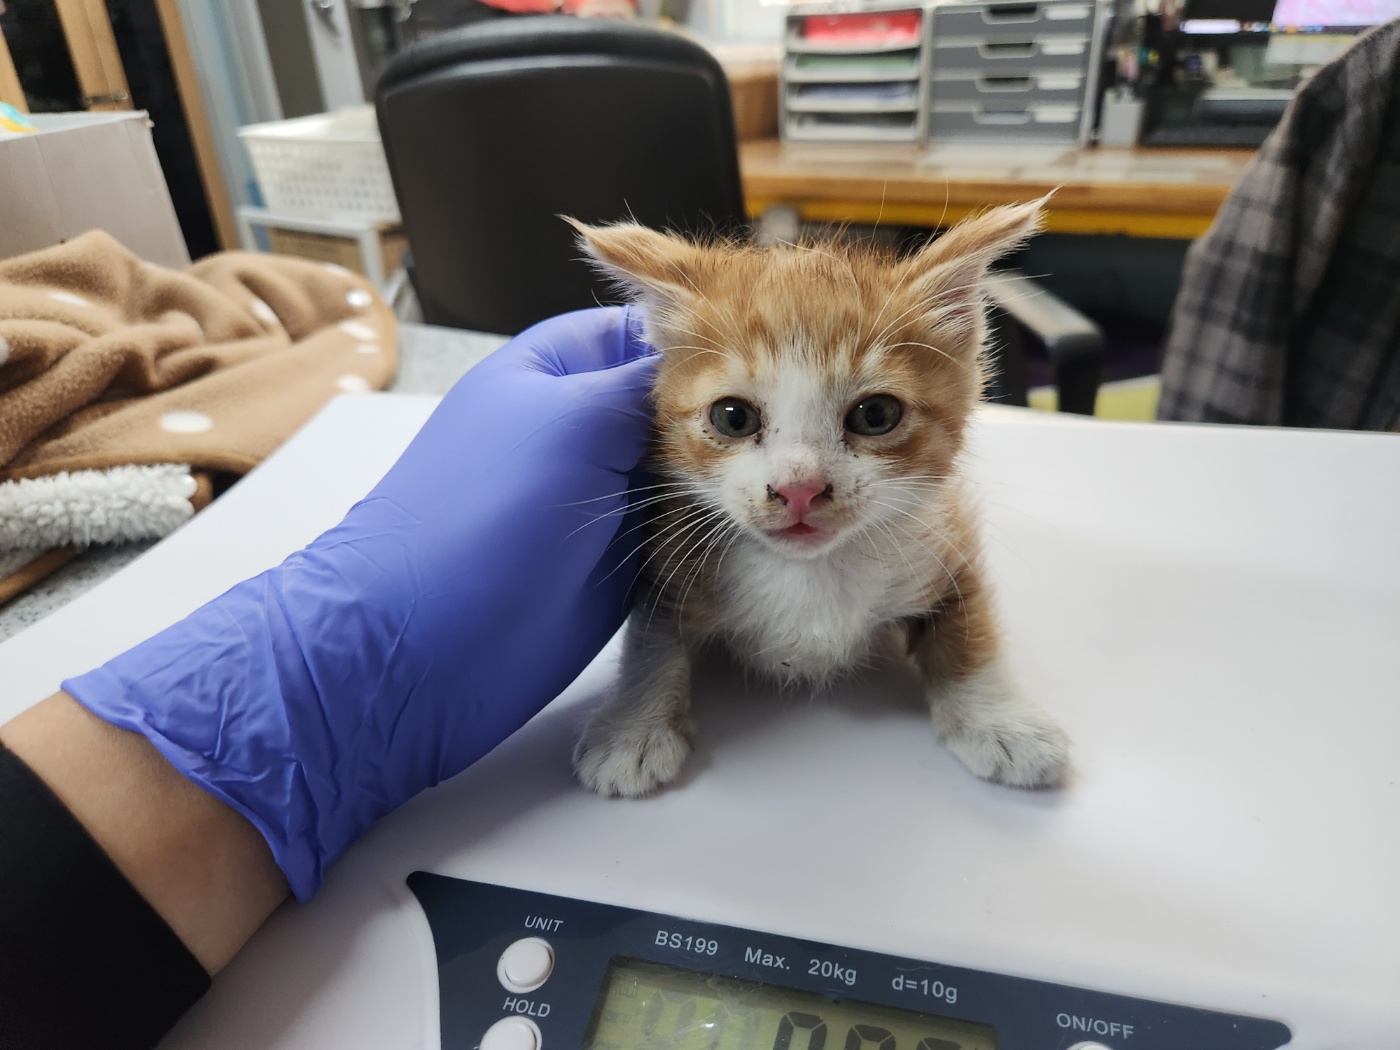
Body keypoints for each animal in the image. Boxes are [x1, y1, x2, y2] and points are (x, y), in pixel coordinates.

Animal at [562, 203, 1064, 795]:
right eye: (732, 417)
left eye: (876, 415)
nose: (798, 488)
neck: (809, 574)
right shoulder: (670, 537)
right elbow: (652, 636)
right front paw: (633, 729)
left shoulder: (946, 531)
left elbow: (969, 624)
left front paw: (1001, 721)